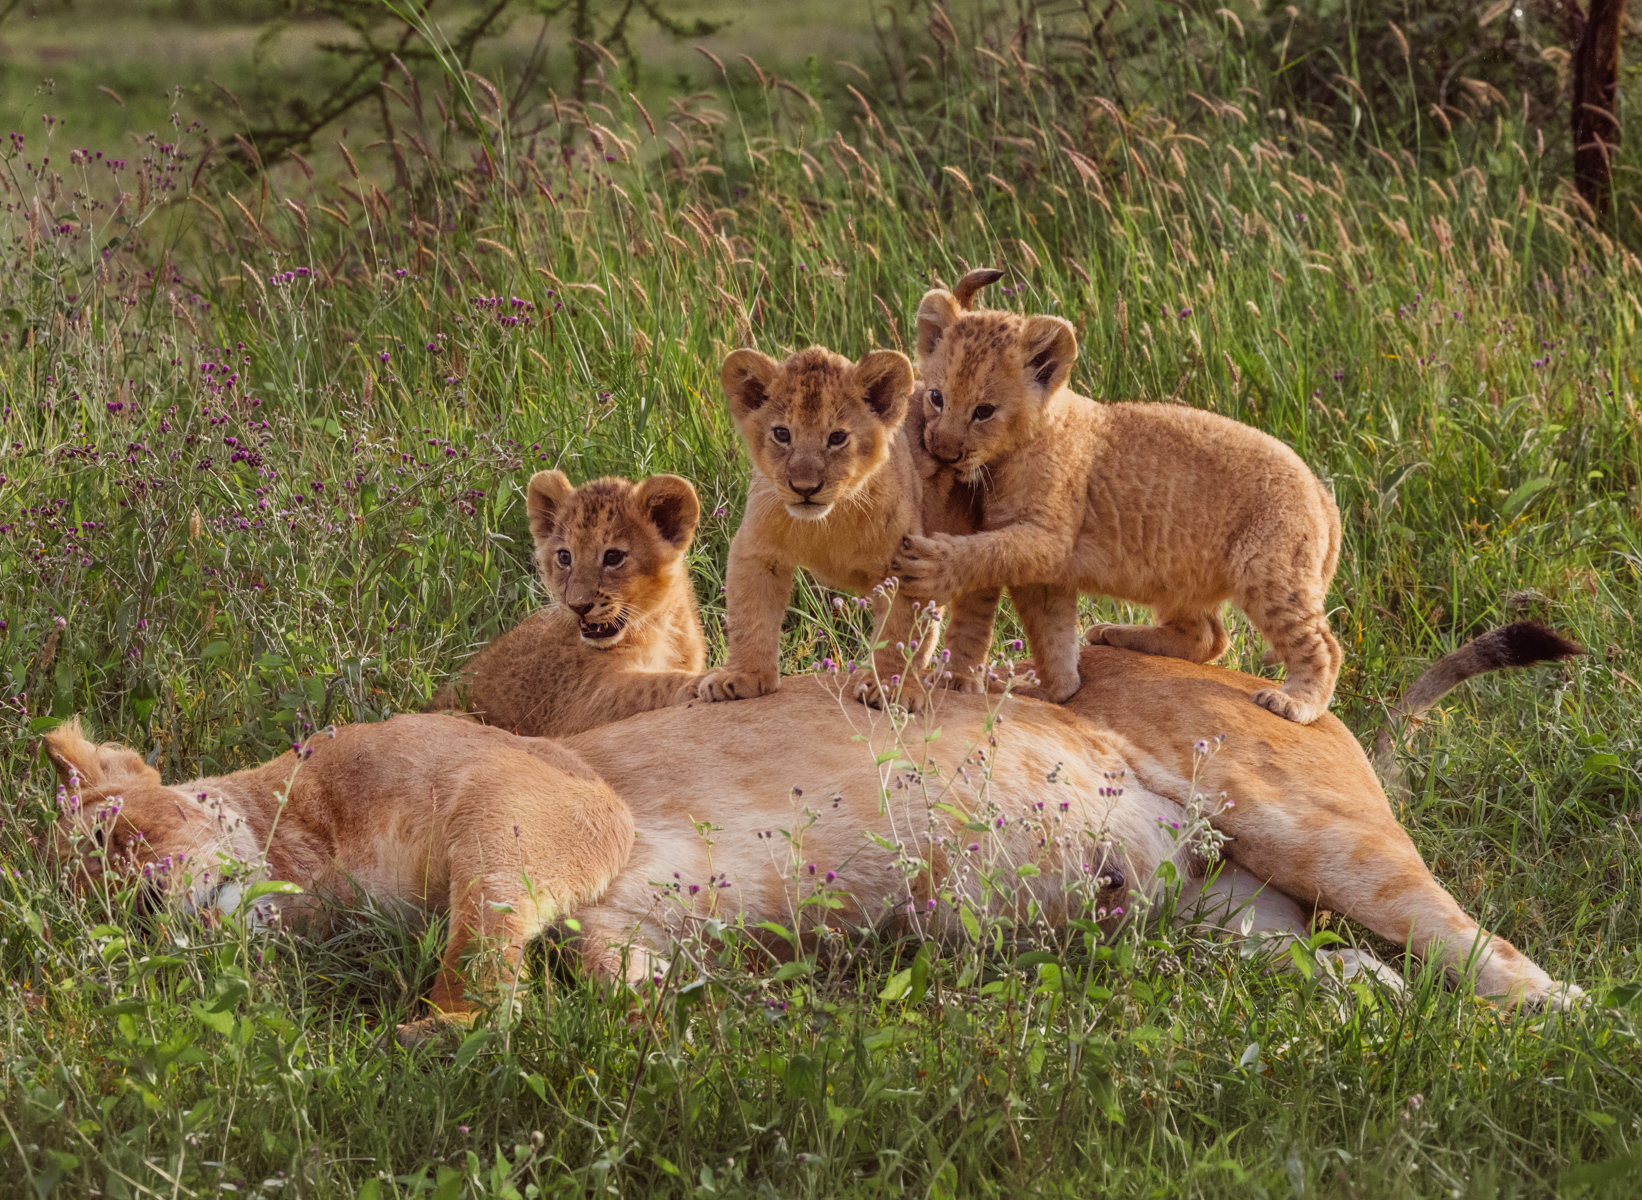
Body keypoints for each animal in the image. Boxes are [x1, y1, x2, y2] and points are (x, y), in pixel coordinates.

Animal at [435, 470, 706, 738]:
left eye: (613, 557)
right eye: (565, 557)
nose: (578, 606)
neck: (659, 626)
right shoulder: (578, 702)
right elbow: (652, 686)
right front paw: (701, 682)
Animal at [695, 344, 934, 709]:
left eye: (837, 437)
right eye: (782, 434)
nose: (804, 488)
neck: (828, 523)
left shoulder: (908, 564)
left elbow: (901, 632)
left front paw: (891, 686)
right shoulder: (756, 551)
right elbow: (750, 617)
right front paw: (744, 677)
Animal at [891, 270, 1343, 724]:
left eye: (983, 411)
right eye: (936, 398)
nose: (941, 451)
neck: (1011, 453)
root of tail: (1320, 490)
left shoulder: (1047, 540)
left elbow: (985, 553)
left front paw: (931, 565)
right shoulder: (1045, 571)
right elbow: (1051, 633)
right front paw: (1055, 690)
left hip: (1268, 571)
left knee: (1323, 644)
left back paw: (1296, 702)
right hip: (1184, 574)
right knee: (1208, 637)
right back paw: (1114, 634)